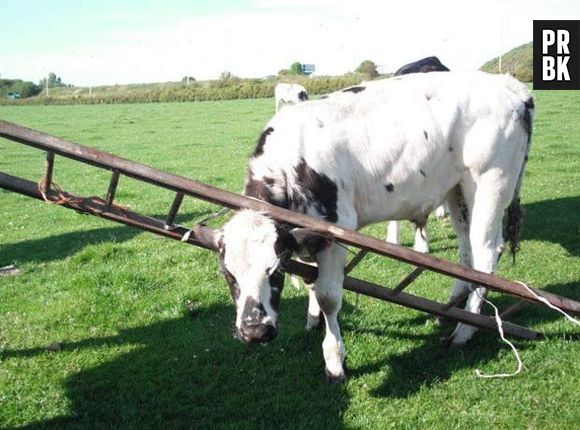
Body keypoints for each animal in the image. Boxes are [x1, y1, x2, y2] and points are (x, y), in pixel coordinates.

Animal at [196, 71, 536, 382]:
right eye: (228, 274)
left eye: (275, 271)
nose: (254, 331)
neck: (292, 164)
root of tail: (511, 86)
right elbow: (310, 281)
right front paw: (312, 319)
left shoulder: (335, 230)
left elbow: (328, 296)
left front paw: (334, 360)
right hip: (457, 190)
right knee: (466, 252)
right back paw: (453, 306)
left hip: (489, 182)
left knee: (485, 254)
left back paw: (463, 332)